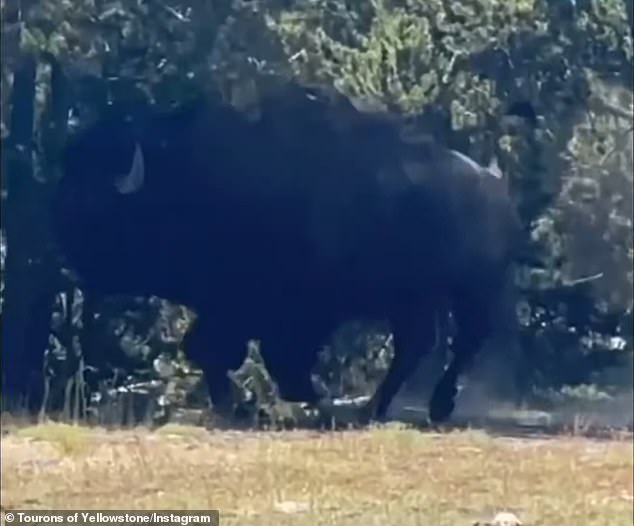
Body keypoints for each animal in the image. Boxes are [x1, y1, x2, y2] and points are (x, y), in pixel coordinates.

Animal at [53, 83, 520, 428]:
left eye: (96, 205)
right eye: (67, 183)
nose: (69, 255)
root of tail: (493, 182)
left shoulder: (283, 309)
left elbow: (266, 357)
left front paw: (296, 402)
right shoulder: (228, 306)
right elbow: (210, 349)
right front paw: (243, 405)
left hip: (468, 291)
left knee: (461, 343)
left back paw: (422, 407)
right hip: (414, 300)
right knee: (421, 344)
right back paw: (375, 409)